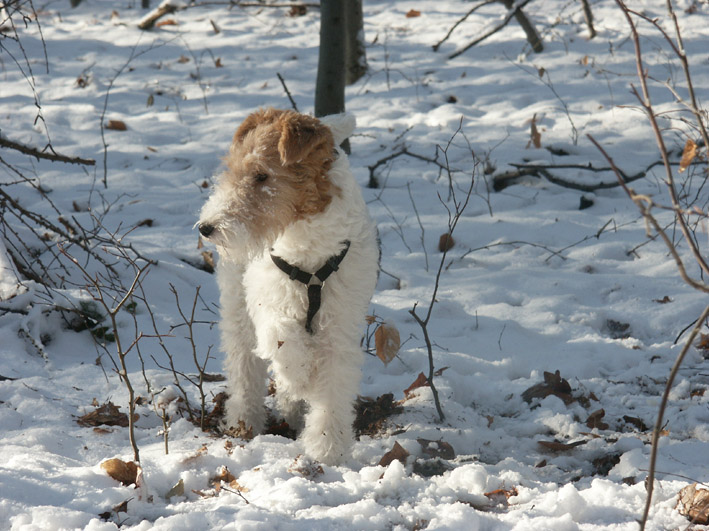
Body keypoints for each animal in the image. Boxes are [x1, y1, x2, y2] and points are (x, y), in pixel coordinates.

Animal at [196, 108, 378, 466]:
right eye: (232, 169)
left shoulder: (340, 328)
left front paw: (327, 449)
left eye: (261, 175)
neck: (310, 257)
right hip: (238, 309)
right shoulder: (269, 301)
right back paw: (245, 420)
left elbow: (332, 389)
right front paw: (299, 378)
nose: (207, 227)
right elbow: (282, 341)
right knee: (245, 370)